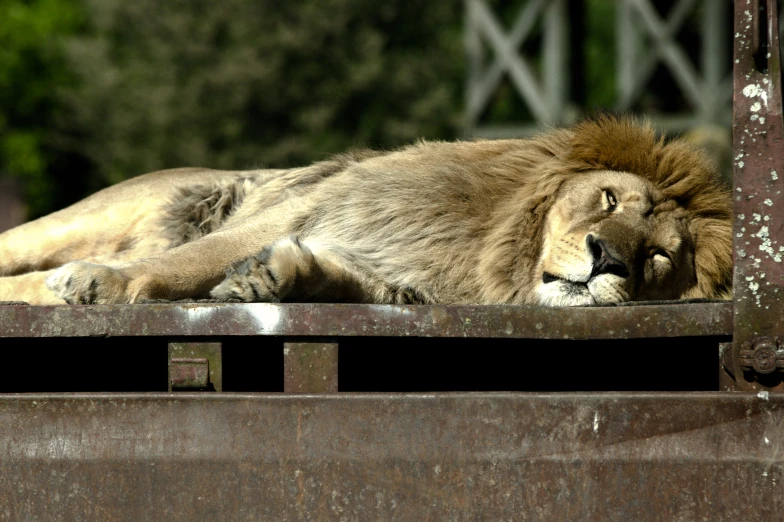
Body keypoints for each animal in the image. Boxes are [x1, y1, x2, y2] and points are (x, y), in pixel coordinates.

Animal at [1, 114, 736, 306]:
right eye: (610, 199)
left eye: (658, 257)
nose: (606, 257)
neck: (486, 254)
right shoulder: (309, 206)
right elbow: (184, 262)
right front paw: (103, 284)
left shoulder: (400, 281)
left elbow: (339, 280)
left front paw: (269, 279)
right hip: (82, 219)